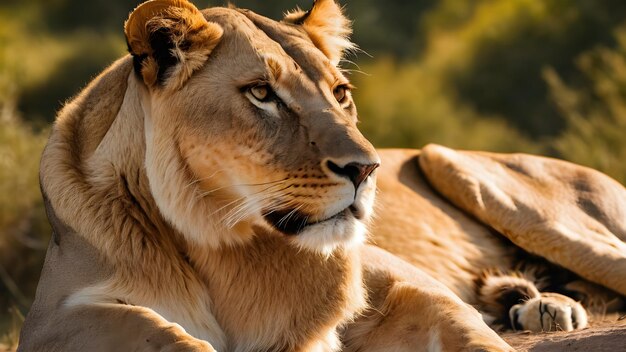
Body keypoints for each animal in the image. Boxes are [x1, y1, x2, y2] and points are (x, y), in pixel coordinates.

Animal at [17, 0, 620, 350]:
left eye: (340, 92)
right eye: (262, 93)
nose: (368, 168)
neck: (227, 245)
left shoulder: (400, 280)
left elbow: (468, 333)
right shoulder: (49, 318)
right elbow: (150, 330)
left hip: (463, 168)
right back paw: (539, 303)